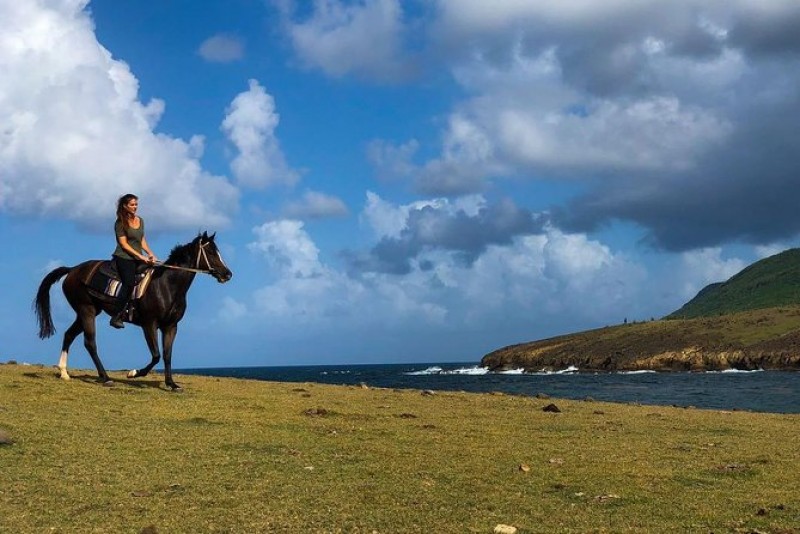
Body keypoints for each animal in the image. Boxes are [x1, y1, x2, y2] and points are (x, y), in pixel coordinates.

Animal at [36, 232, 233, 392]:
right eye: (211, 252)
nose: (227, 274)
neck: (167, 285)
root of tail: (72, 270)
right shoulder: (149, 324)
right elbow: (156, 355)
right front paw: (134, 373)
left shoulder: (171, 326)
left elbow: (167, 355)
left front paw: (171, 384)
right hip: (87, 311)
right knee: (90, 343)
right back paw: (105, 378)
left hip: (87, 312)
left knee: (69, 335)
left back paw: (64, 373)